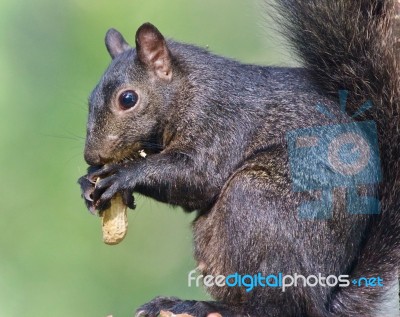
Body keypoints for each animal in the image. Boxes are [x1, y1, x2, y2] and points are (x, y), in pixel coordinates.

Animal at [78, 0, 400, 316]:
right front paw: (88, 182)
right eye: (89, 100)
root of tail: (325, 300)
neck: (188, 88)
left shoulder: (220, 121)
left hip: (254, 202)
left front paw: (124, 175)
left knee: (277, 307)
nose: (92, 154)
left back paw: (204, 305)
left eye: (128, 99)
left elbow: (198, 179)